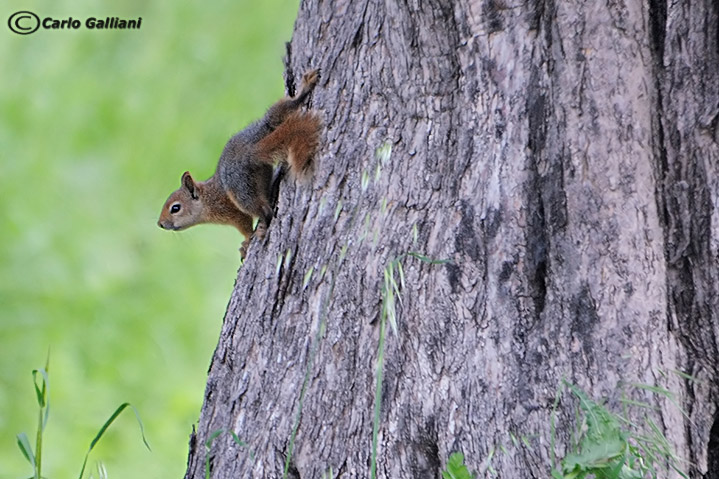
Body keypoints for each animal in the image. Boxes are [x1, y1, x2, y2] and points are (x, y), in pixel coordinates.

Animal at [161, 69, 326, 258]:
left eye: (175, 208)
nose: (160, 224)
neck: (207, 200)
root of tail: (250, 153)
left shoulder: (231, 212)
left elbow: (245, 226)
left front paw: (246, 243)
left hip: (241, 191)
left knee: (262, 210)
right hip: (265, 126)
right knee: (279, 112)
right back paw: (303, 92)